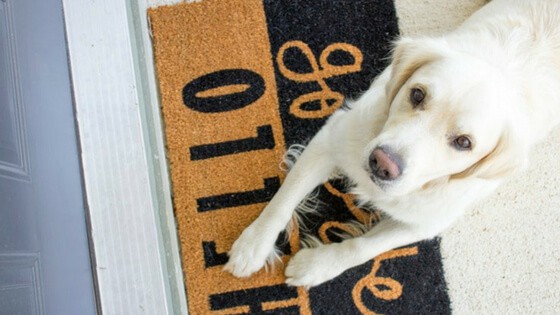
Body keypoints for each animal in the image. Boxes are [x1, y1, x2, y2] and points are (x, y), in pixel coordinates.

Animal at [224, 0, 560, 288]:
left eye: (464, 142)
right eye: (417, 94)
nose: (382, 164)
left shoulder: (427, 222)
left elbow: (363, 247)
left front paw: (318, 265)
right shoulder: (333, 137)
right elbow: (284, 199)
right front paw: (253, 245)